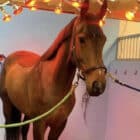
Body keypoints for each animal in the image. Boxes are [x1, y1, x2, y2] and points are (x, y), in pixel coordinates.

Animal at [0, 0, 107, 139]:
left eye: (104, 40)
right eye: (81, 39)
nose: (98, 85)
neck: (54, 86)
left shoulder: (59, 125)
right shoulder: (40, 124)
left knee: (24, 129)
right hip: (8, 106)